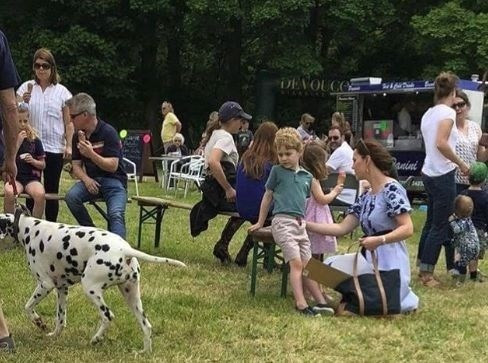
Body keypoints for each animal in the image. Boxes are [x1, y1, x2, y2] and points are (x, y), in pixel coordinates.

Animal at [0, 209, 186, 354]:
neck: (27, 228)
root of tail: (125, 249)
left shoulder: (45, 285)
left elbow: (27, 307)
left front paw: (39, 322)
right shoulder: (61, 289)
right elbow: (61, 319)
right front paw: (54, 335)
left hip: (90, 288)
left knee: (108, 316)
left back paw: (96, 339)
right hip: (131, 296)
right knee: (147, 326)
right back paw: (144, 352)